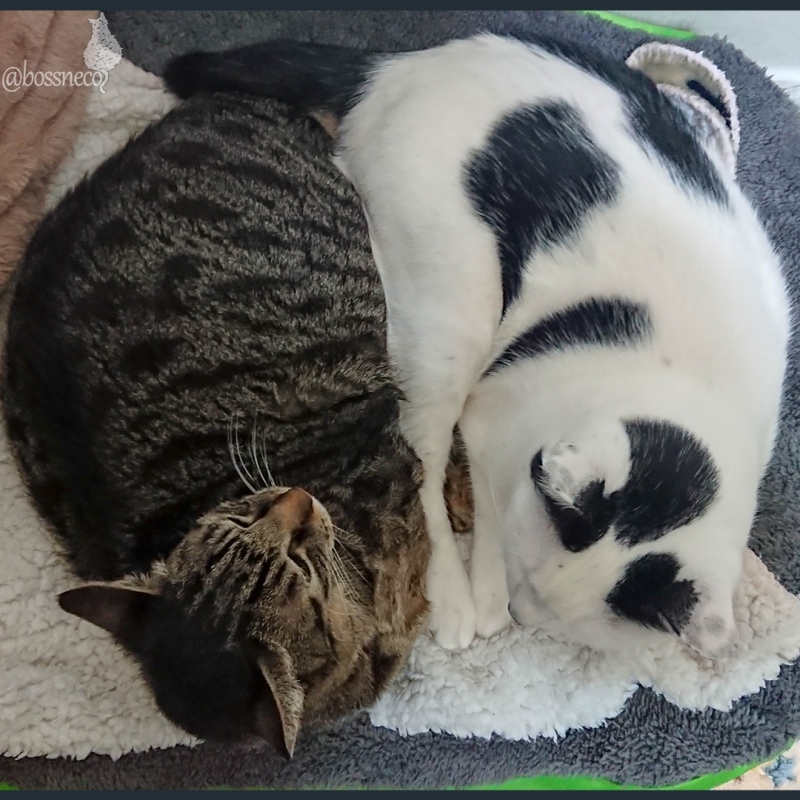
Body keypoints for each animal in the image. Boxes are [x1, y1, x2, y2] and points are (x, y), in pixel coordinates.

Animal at [164, 32, 791, 657]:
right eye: (529, 590)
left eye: (555, 621)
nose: (518, 612)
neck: (685, 386)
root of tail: (400, 66)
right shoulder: (495, 413)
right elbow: (491, 500)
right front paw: (486, 589)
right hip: (451, 312)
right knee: (421, 454)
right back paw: (451, 595)